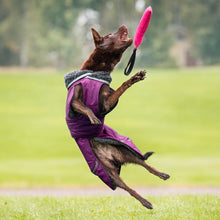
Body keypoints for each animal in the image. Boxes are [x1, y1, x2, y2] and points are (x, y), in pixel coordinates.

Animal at [64, 24, 170, 209]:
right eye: (108, 35)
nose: (123, 26)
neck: (96, 70)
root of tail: (112, 157)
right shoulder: (75, 100)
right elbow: (84, 106)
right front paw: (93, 118)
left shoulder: (107, 103)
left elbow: (121, 87)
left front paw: (135, 77)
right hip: (111, 174)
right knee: (129, 189)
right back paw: (145, 201)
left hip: (126, 152)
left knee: (145, 165)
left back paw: (161, 175)